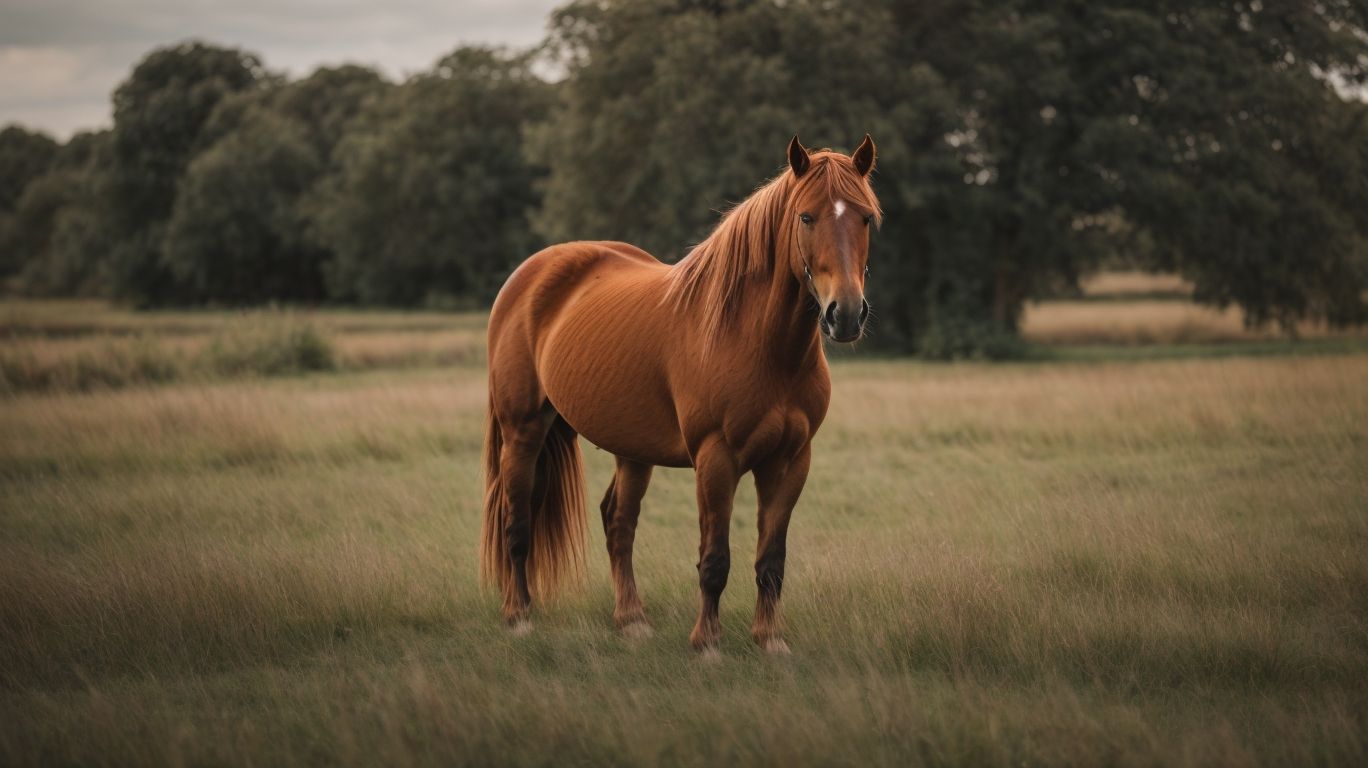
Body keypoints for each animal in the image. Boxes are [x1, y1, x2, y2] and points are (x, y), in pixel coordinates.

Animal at [479, 135, 881, 653]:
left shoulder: (791, 461)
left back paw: (632, 620)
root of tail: (531, 273)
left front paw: (769, 639)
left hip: (632, 449)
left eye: (866, 217)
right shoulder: (716, 458)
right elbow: (714, 559)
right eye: (806, 217)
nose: (845, 314)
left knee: (618, 522)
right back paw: (519, 615)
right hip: (523, 430)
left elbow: (771, 561)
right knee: (517, 521)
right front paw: (706, 642)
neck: (758, 342)